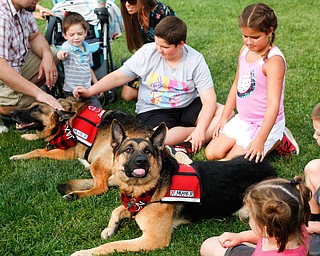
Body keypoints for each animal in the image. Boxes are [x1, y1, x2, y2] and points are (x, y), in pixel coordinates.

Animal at [8, 99, 151, 199]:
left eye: (36, 109)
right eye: (30, 105)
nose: (12, 113)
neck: (63, 123)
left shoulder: (65, 153)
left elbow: (38, 151)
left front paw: (18, 156)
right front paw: (28, 136)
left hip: (98, 162)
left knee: (101, 188)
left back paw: (75, 195)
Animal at [71, 121, 276, 255]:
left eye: (148, 151)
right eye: (128, 150)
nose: (140, 161)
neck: (151, 190)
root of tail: (268, 166)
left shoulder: (153, 239)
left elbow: (115, 245)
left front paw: (85, 252)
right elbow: (117, 210)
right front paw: (110, 228)